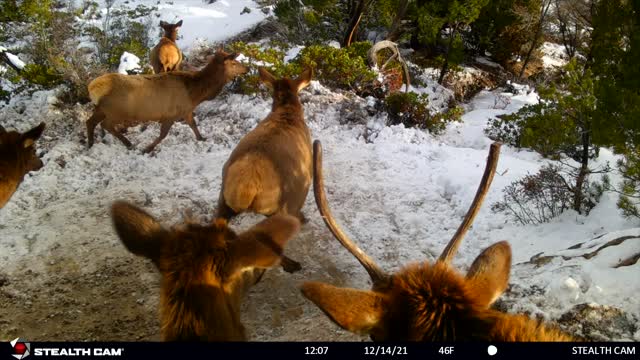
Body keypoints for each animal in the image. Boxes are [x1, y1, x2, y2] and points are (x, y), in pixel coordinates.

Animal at [89, 48, 249, 152]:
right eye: (234, 63)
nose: (246, 69)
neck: (195, 94)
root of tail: (93, 88)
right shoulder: (170, 114)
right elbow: (163, 134)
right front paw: (147, 148)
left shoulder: (186, 110)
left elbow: (193, 124)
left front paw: (201, 138)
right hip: (117, 112)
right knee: (105, 125)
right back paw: (128, 143)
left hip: (101, 109)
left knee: (90, 121)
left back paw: (90, 144)